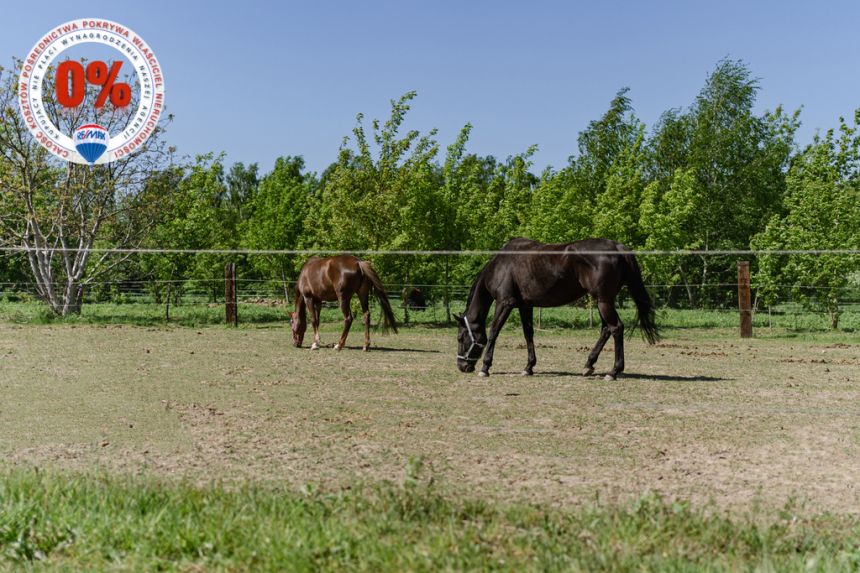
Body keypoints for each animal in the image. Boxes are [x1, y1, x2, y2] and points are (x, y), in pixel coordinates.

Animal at [456, 237, 660, 380]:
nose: (462, 367)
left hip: (603, 301)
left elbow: (493, 332)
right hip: (604, 301)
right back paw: (588, 365)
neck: (502, 265)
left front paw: (485, 367)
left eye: (460, 337)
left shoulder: (505, 303)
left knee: (616, 328)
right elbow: (528, 334)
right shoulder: (525, 305)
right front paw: (528, 367)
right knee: (606, 329)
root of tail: (618, 247)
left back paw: (613, 371)